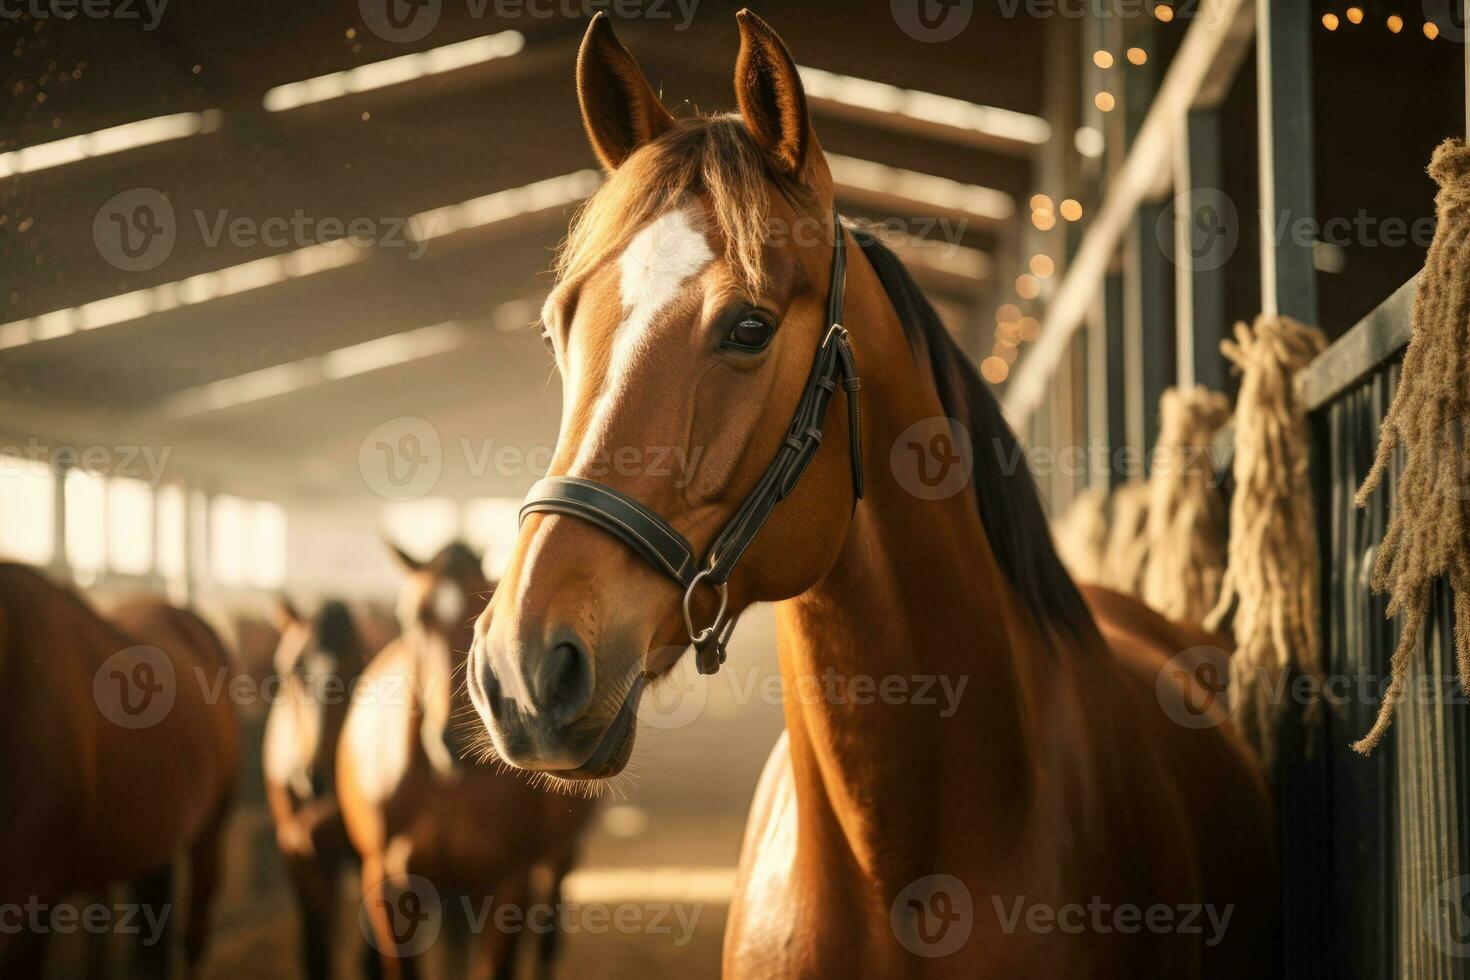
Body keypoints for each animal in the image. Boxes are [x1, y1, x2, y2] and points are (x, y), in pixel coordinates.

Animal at [266, 599, 379, 980]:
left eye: (359, 670)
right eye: (289, 669)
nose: (310, 778)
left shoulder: (366, 856)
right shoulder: (297, 855)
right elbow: (315, 955)